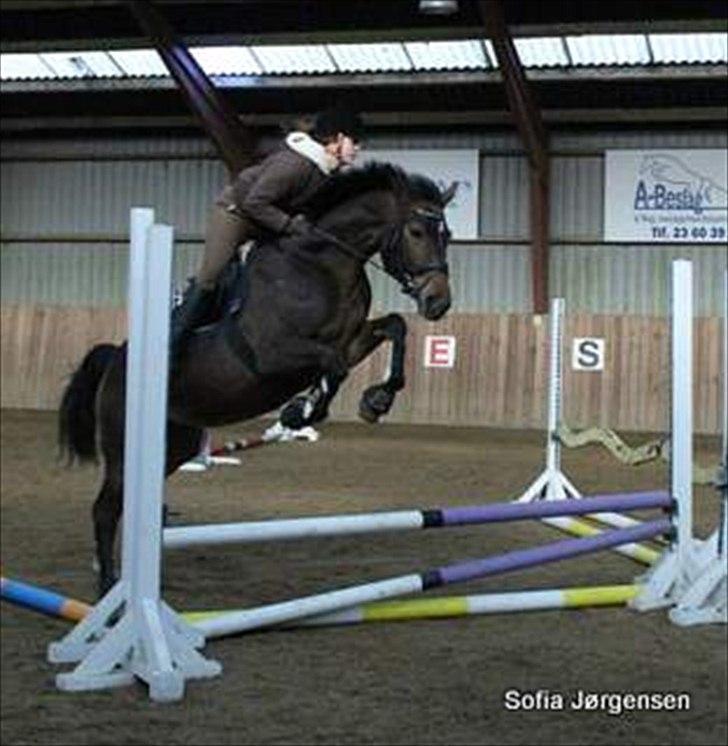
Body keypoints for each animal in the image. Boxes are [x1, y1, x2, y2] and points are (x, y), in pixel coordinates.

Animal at [59, 161, 456, 592]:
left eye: (447, 236)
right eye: (416, 232)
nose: (438, 301)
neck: (321, 265)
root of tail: (115, 358)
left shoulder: (352, 339)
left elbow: (394, 328)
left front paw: (375, 401)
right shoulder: (273, 353)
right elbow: (333, 365)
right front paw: (301, 411)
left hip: (176, 443)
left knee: (124, 504)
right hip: (123, 445)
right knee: (104, 509)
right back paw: (107, 587)